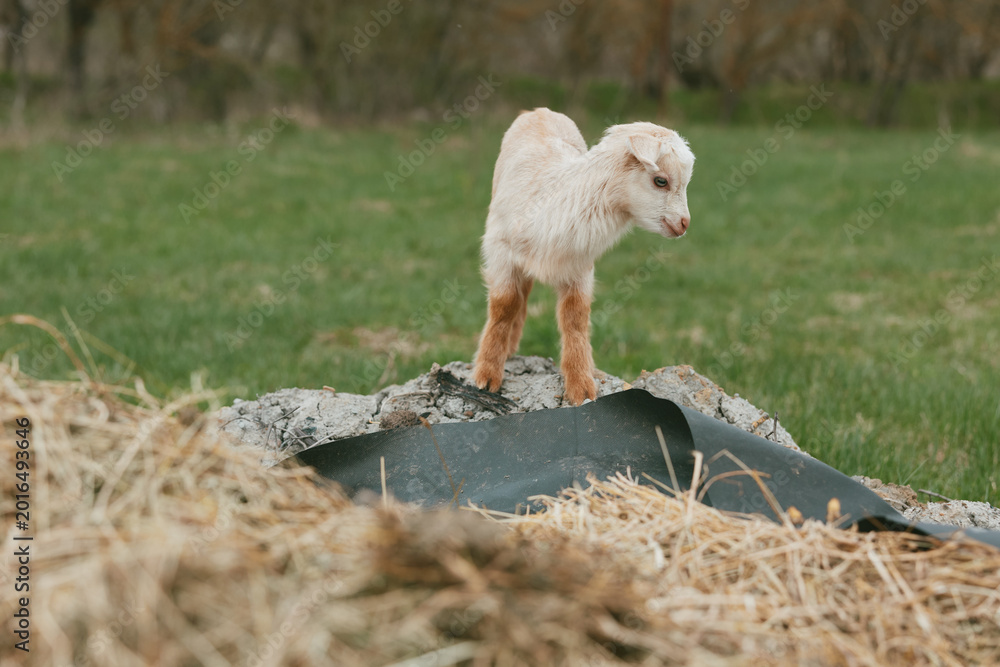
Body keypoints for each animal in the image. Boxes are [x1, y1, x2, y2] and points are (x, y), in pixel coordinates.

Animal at [473, 108, 695, 405]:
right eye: (661, 180)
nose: (684, 224)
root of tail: (539, 111)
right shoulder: (500, 251)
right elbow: (504, 305)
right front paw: (487, 376)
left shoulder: (579, 265)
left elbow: (575, 317)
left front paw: (581, 385)